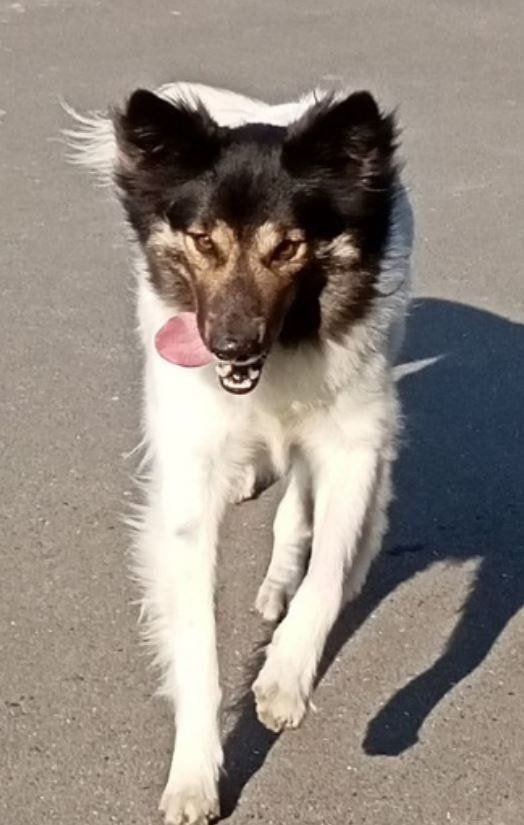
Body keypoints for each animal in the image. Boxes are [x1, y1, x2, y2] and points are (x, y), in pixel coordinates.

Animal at [68, 81, 413, 824]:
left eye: (288, 248)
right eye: (204, 241)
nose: (229, 346)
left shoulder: (355, 440)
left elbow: (330, 569)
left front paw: (284, 675)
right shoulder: (187, 477)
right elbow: (195, 638)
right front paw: (195, 773)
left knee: (309, 511)